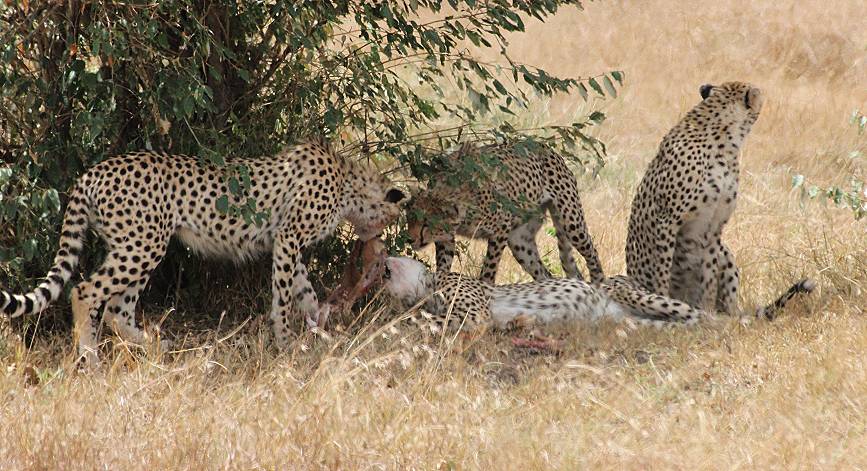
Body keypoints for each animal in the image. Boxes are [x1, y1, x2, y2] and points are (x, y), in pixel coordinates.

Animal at [0, 139, 406, 362]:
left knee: (117, 309)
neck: (348, 183)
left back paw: (156, 347)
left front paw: (320, 333)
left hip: (139, 244)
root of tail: (93, 171)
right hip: (142, 244)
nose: (377, 240)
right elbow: (283, 295)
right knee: (84, 292)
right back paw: (92, 361)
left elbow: (304, 291)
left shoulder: (282, 242)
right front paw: (285, 342)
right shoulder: (288, 238)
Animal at [406, 142, 604, 284]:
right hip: (519, 241)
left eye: (426, 224)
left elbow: (489, 269)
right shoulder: (447, 237)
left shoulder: (501, 228)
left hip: (571, 223)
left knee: (592, 253)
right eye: (409, 219)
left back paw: (600, 284)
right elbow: (443, 265)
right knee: (544, 274)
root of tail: (546, 147)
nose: (410, 239)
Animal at [628, 82, 816, 318]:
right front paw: (663, 301)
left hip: (725, 252)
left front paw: (707, 310)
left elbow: (709, 275)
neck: (724, 144)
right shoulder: (667, 220)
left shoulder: (714, 226)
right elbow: (661, 271)